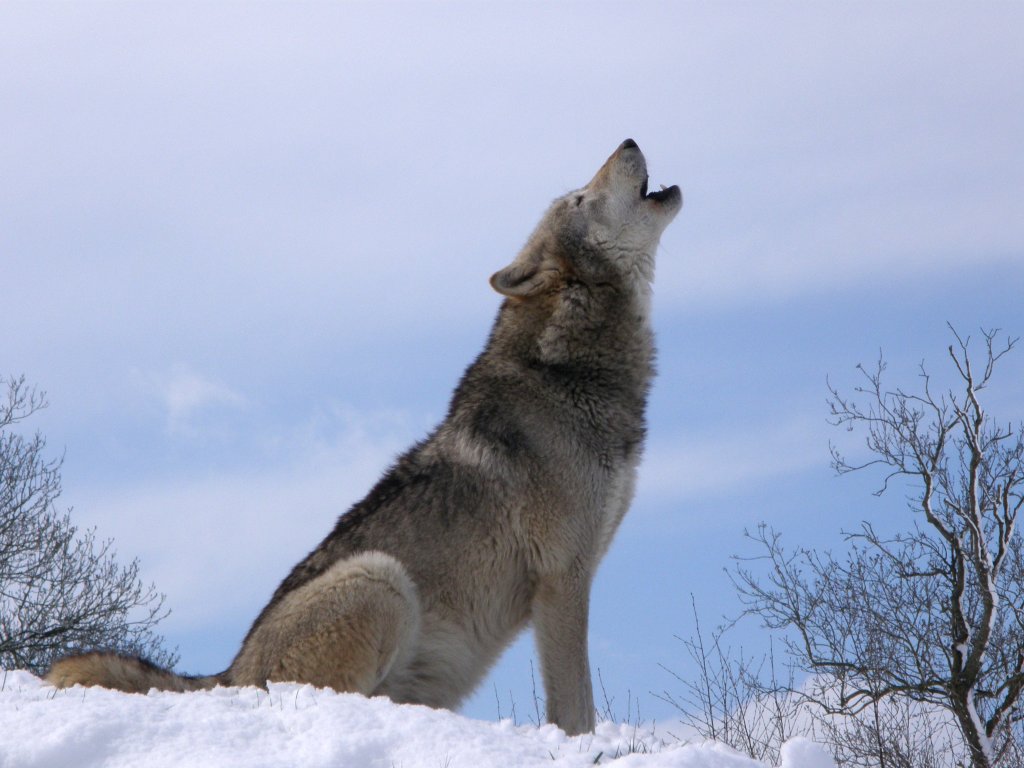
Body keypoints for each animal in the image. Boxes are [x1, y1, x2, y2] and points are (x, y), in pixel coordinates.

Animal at [49, 140, 688, 741]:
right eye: (579, 199)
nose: (629, 140)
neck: (569, 370)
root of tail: (228, 675)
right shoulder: (562, 578)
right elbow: (576, 706)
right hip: (381, 578)